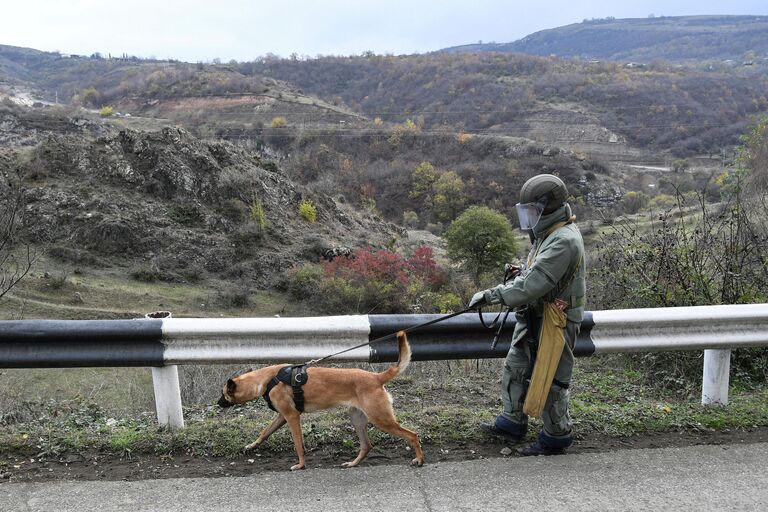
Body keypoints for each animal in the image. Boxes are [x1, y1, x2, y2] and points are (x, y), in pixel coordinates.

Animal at [218, 330, 426, 470]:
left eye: (223, 393)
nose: (218, 403)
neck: (266, 380)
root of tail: (376, 377)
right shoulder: (282, 417)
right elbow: (264, 432)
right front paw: (252, 446)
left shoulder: (292, 417)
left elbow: (298, 444)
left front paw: (301, 465)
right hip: (357, 419)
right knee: (367, 446)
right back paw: (352, 463)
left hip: (381, 419)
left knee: (412, 435)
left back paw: (419, 459)